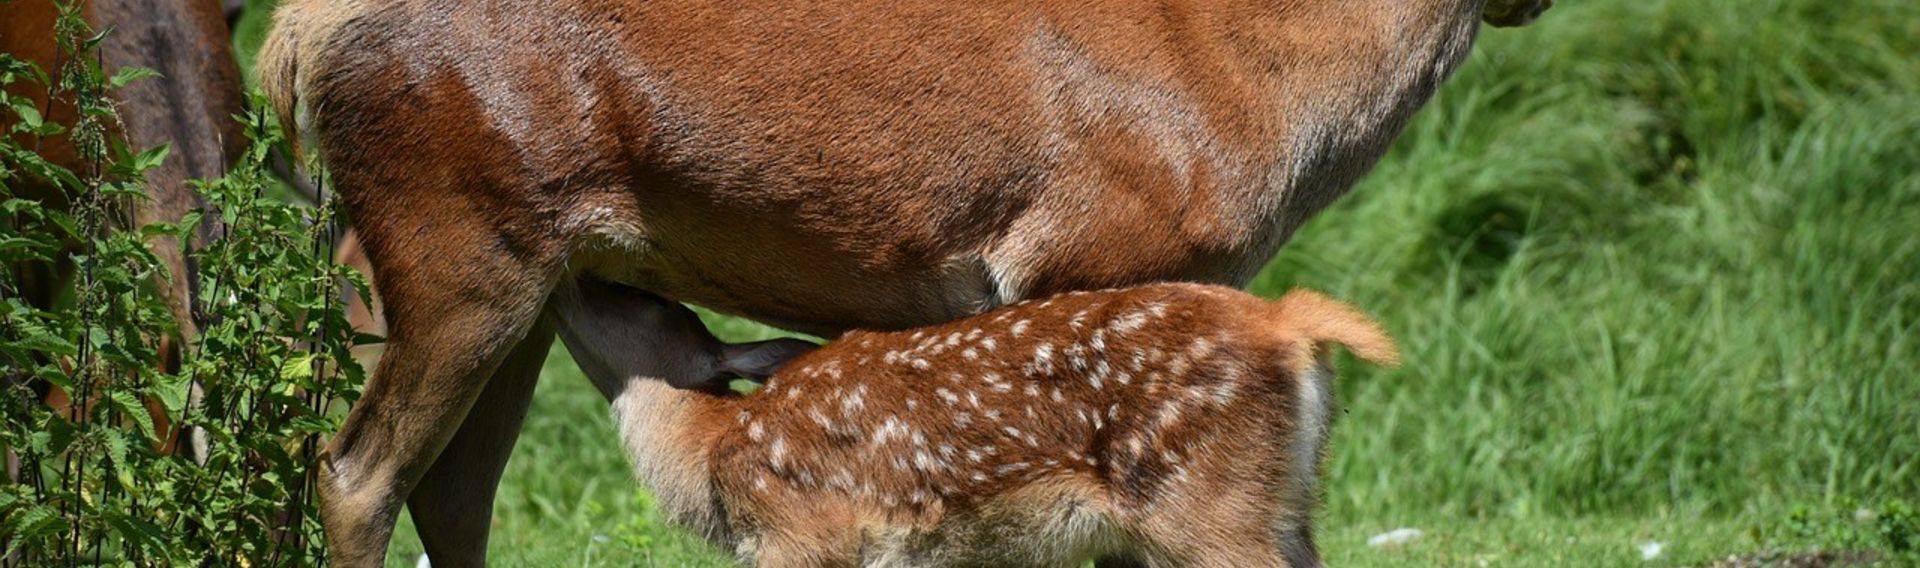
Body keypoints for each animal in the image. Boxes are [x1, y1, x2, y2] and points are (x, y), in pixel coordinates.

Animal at [259, 0, 1543, 564]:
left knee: (452, 489)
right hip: (454, 244)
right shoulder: (1088, 251)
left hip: (522, 274)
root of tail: (296, 33)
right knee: (356, 471)